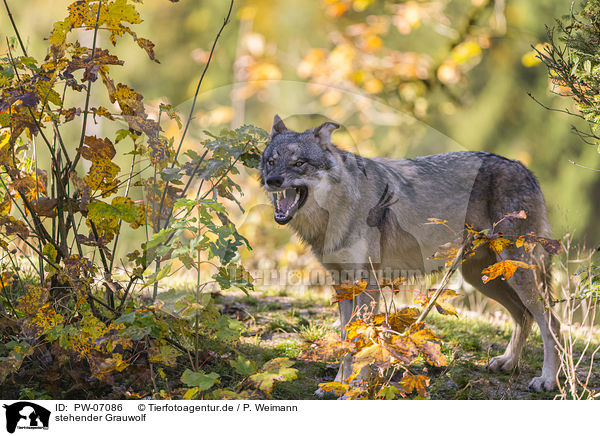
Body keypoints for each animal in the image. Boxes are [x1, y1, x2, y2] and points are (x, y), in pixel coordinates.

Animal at [260, 114, 560, 394]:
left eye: (299, 163)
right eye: (271, 161)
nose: (272, 180)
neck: (337, 209)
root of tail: (524, 168)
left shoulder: (368, 285)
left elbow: (361, 342)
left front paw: (355, 388)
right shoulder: (343, 284)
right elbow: (347, 340)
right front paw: (337, 385)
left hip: (515, 273)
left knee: (551, 322)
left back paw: (547, 380)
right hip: (483, 277)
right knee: (524, 316)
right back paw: (507, 362)